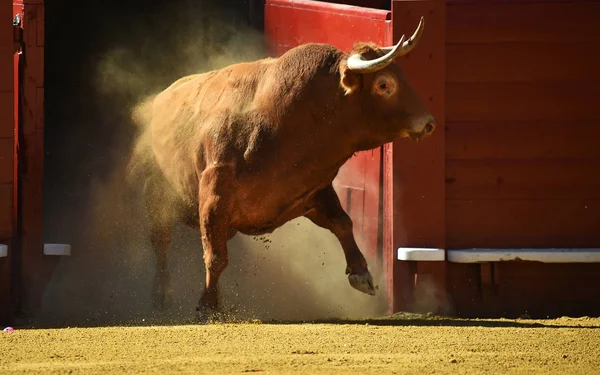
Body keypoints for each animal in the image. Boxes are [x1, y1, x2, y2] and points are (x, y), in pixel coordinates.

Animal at [136, 16, 436, 318]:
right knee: (161, 242)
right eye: (384, 85)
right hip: (156, 198)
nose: (428, 122)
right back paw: (161, 295)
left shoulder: (313, 191)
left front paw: (361, 273)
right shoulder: (213, 200)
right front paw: (208, 307)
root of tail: (158, 100)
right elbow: (215, 256)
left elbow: (343, 222)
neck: (284, 121)